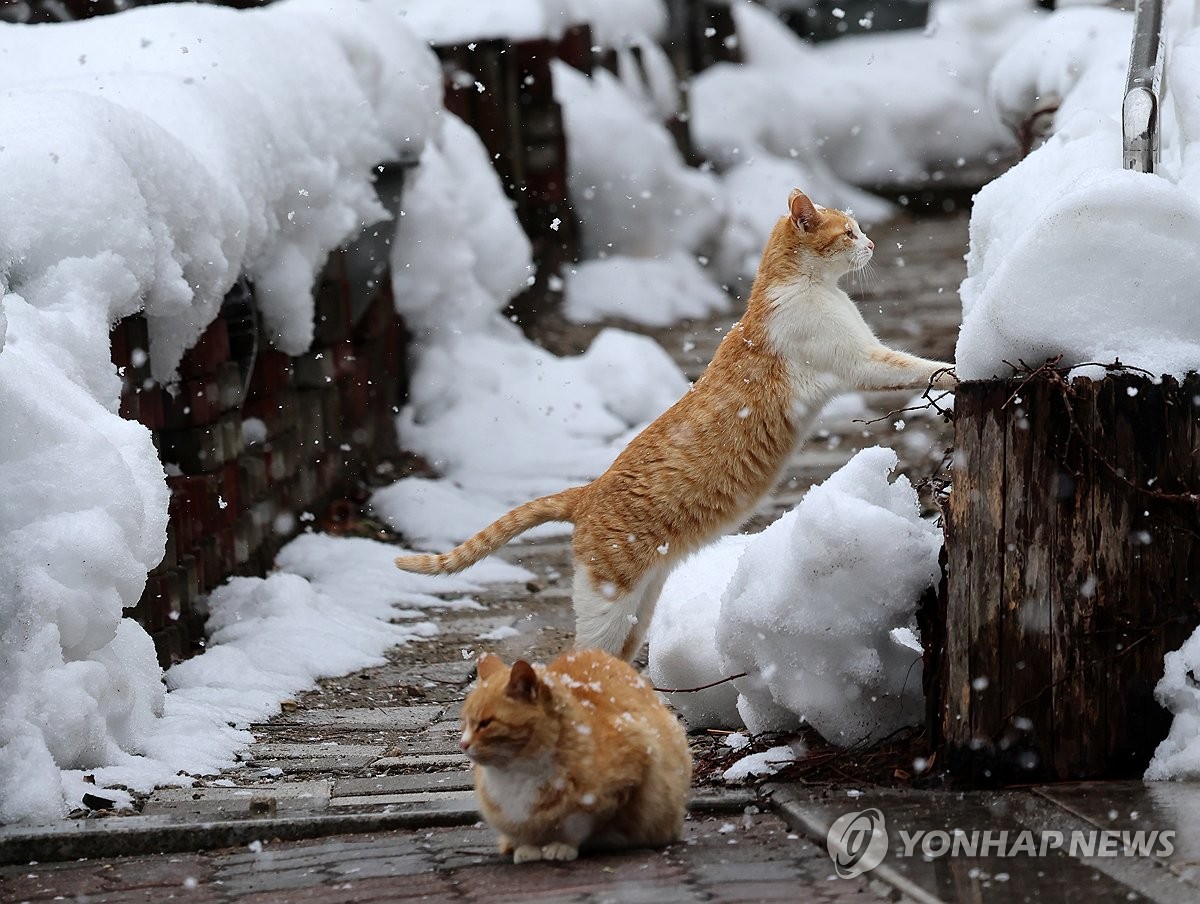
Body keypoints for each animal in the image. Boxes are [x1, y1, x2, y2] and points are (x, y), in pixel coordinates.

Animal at [393, 187, 955, 657]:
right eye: (850, 233)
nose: (874, 243)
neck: (795, 287)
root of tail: (587, 492)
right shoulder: (860, 362)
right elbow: (916, 365)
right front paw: (954, 366)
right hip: (608, 607)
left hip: (639, 613)